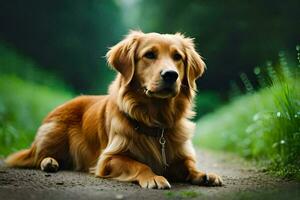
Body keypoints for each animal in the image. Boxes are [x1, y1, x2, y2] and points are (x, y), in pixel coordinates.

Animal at [4, 30, 220, 188]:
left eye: (178, 57)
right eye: (149, 55)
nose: (170, 75)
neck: (156, 120)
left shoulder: (180, 154)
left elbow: (190, 164)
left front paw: (203, 174)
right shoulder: (108, 158)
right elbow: (139, 164)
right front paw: (153, 177)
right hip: (53, 133)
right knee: (37, 156)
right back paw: (49, 162)